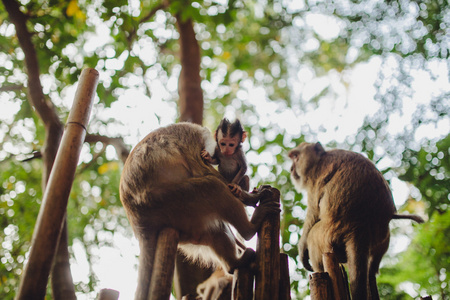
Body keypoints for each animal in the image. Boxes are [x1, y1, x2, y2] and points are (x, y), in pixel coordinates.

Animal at [120, 122, 282, 300]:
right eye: (224, 143)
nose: (226, 150)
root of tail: (138, 223)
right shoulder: (193, 136)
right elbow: (203, 171)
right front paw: (253, 197)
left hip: (184, 222)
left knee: (215, 230)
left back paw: (234, 263)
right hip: (164, 202)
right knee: (212, 186)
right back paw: (250, 229)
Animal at [290, 142, 424, 300]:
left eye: (296, 157)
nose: (291, 169)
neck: (320, 158)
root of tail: (360, 226)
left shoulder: (314, 178)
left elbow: (313, 213)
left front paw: (302, 249)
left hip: (327, 234)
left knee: (313, 237)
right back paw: (371, 274)